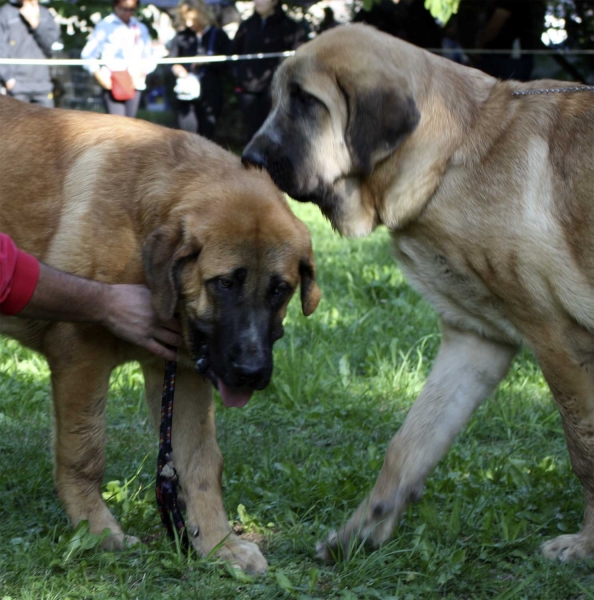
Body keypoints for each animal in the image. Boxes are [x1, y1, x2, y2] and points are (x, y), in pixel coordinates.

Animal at [0, 96, 320, 576]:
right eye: (225, 283)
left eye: (279, 289)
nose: (250, 372)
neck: (139, 223)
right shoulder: (80, 354)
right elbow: (84, 454)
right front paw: (97, 532)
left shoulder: (183, 372)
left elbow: (201, 463)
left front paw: (219, 543)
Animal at [244, 24, 594, 564]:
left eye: (306, 101)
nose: (249, 159)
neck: (455, 155)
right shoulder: (476, 340)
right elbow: (410, 444)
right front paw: (361, 532)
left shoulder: (558, 339)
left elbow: (584, 449)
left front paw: (586, 544)